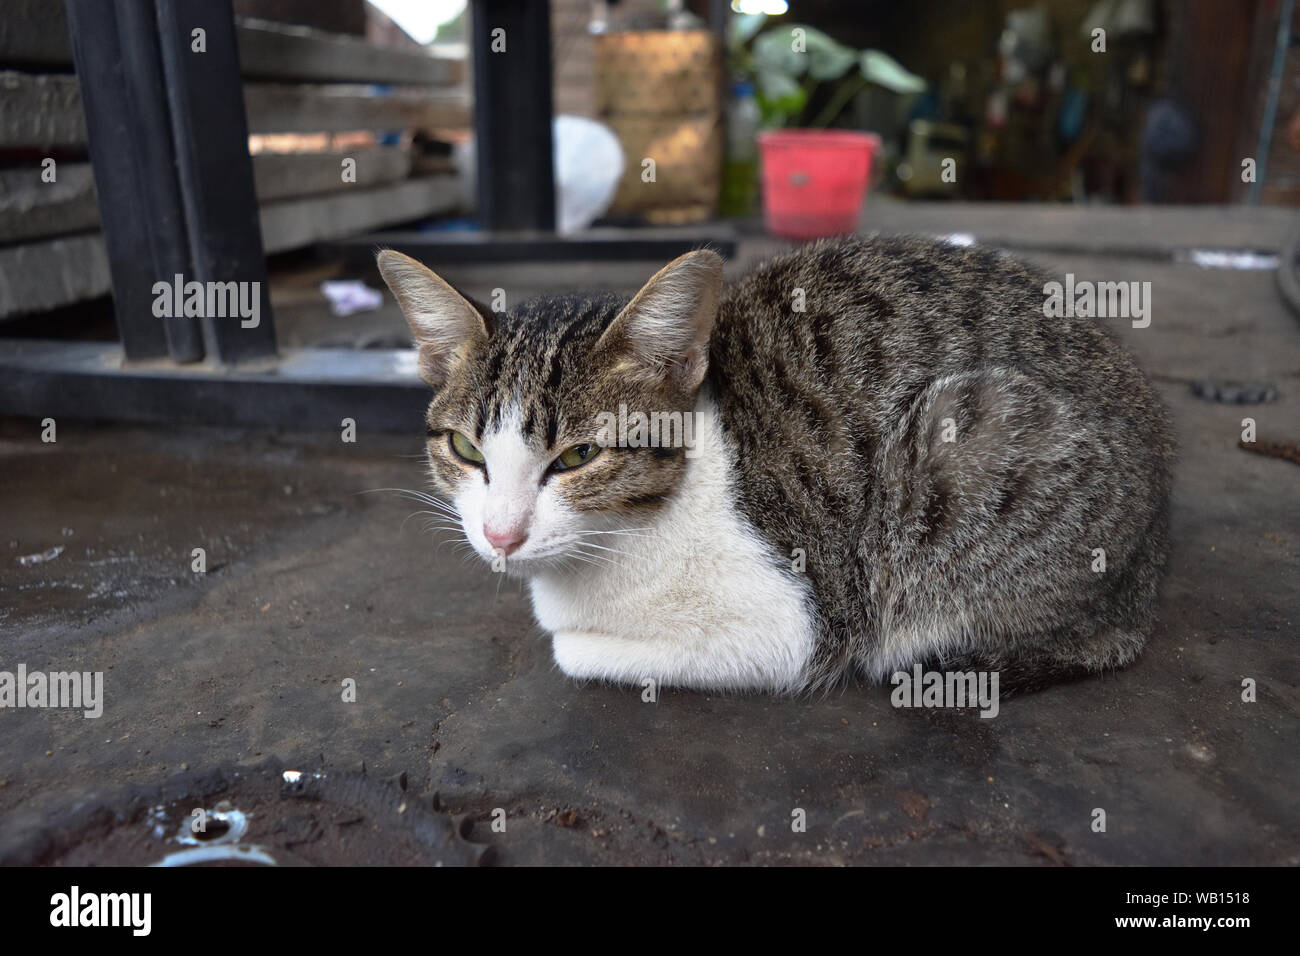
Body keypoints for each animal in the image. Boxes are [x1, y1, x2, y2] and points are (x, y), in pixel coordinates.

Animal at [379, 234, 1180, 691]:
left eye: (578, 456)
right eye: (466, 450)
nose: (501, 535)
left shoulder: (799, 623)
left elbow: (571, 649)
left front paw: (574, 636)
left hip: (973, 428)